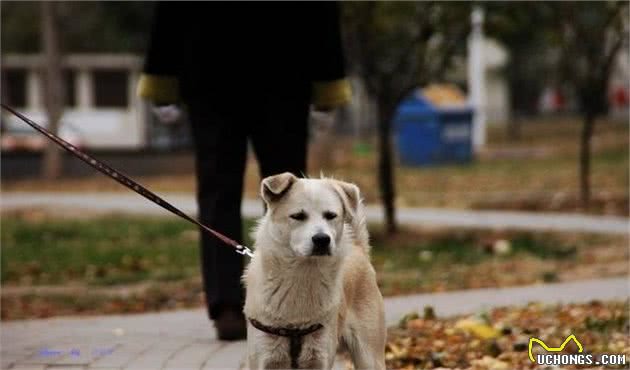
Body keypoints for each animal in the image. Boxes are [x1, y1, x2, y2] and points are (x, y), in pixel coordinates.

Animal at [244, 173, 388, 370]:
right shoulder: (265, 359)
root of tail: (358, 248)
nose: (322, 239)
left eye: (331, 215)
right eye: (298, 216)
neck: (302, 275)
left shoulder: (319, 358)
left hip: (369, 356)